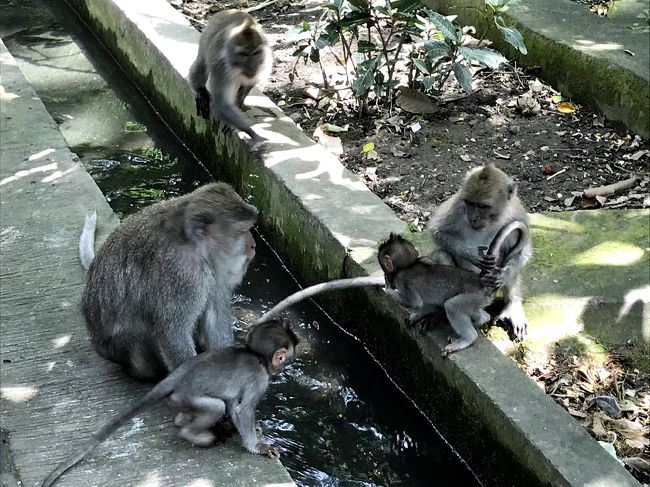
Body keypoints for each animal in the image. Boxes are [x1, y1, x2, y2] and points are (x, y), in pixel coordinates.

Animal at [187, 9, 270, 149]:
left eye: (256, 53)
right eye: (243, 54)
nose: (252, 66)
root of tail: (229, 10)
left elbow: (249, 84)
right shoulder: (221, 66)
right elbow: (221, 103)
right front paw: (251, 133)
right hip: (207, 35)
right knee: (202, 63)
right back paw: (199, 89)